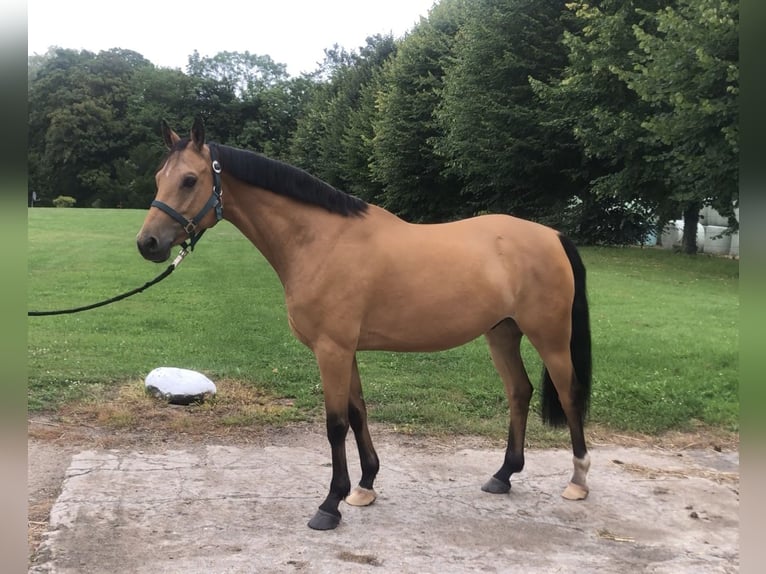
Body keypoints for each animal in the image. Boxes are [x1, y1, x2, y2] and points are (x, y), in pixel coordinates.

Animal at [138, 117, 592, 532]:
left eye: (190, 179)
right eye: (159, 177)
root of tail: (552, 235)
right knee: (519, 391)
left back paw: (578, 480)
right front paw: (365, 486)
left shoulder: (332, 350)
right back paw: (503, 475)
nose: (148, 244)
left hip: (550, 336)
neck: (321, 241)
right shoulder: (347, 350)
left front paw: (330, 504)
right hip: (502, 333)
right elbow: (358, 413)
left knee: (568, 394)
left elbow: (335, 424)